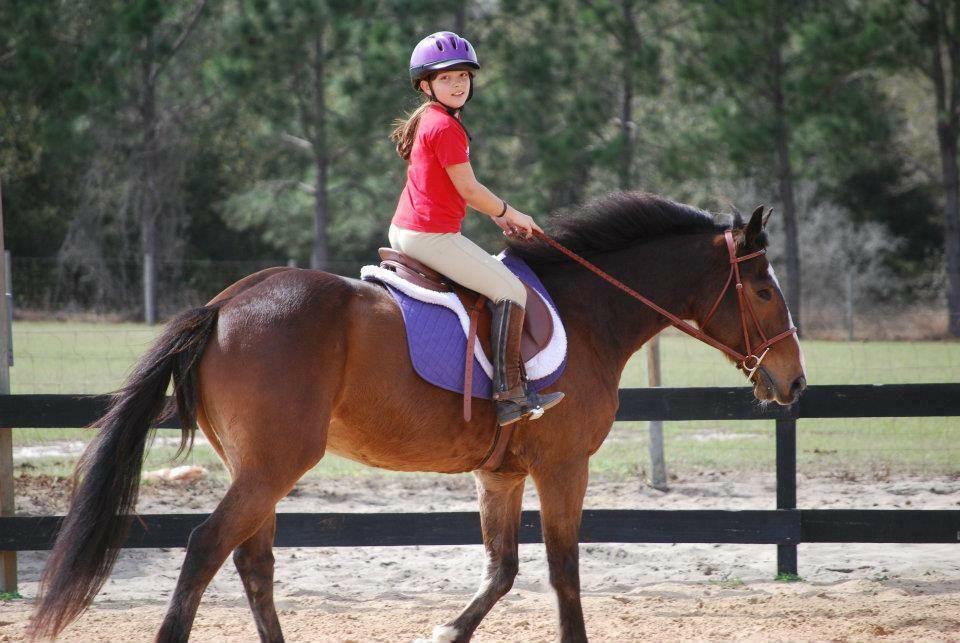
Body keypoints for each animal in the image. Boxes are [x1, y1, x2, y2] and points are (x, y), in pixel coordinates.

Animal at [30, 192, 808, 643]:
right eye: (765, 290)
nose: (796, 383)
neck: (590, 312)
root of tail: (223, 304)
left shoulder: (502, 476)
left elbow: (502, 568)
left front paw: (446, 631)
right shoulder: (564, 467)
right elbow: (562, 571)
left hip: (260, 471)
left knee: (251, 561)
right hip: (273, 466)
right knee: (205, 548)